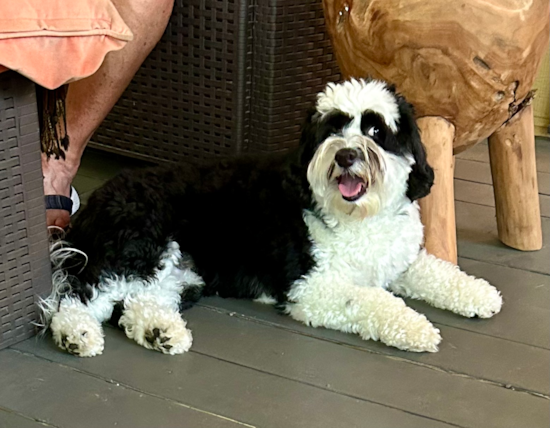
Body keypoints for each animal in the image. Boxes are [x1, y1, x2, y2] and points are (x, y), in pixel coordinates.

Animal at [43, 77, 504, 358]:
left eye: (376, 131)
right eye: (332, 129)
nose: (346, 155)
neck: (359, 218)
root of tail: (97, 201)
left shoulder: (398, 262)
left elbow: (438, 272)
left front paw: (479, 294)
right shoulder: (310, 287)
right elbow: (371, 299)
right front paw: (415, 326)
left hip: (177, 274)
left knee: (135, 303)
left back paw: (159, 331)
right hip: (137, 247)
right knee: (78, 295)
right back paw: (74, 333)